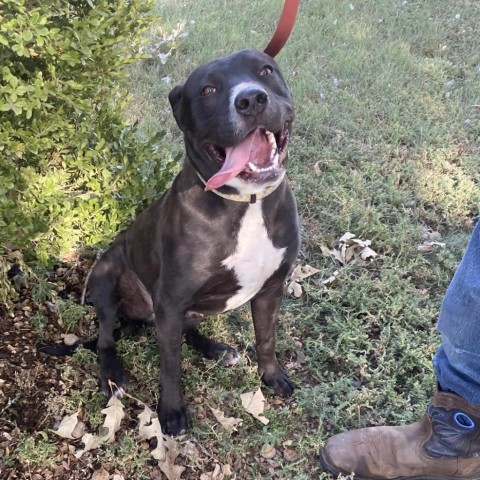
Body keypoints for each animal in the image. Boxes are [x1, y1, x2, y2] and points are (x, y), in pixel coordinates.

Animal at [47, 49, 300, 436]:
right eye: (209, 89)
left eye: (266, 70)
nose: (251, 99)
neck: (247, 202)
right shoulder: (170, 300)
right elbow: (170, 366)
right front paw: (171, 411)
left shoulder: (271, 288)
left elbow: (267, 339)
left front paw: (272, 377)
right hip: (107, 275)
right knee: (105, 339)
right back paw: (111, 375)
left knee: (186, 331)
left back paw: (214, 348)